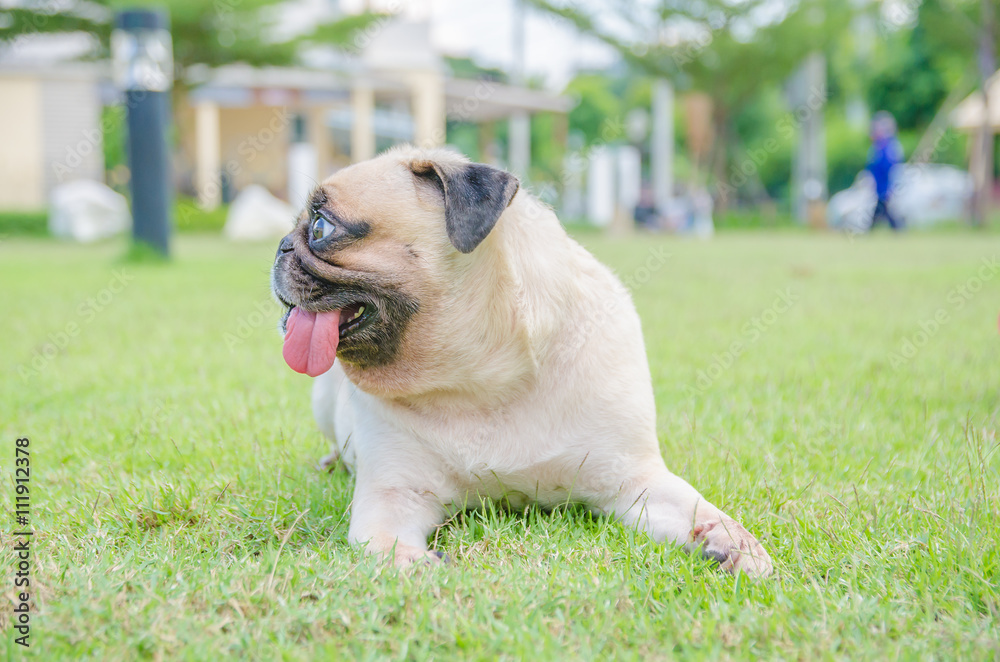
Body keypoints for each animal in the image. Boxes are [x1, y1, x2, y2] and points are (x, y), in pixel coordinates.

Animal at [268, 145, 772, 576]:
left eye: (321, 228)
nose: (280, 246)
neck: (481, 378)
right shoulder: (395, 493)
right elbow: (383, 542)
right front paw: (411, 562)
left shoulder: (633, 480)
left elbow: (697, 507)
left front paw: (731, 541)